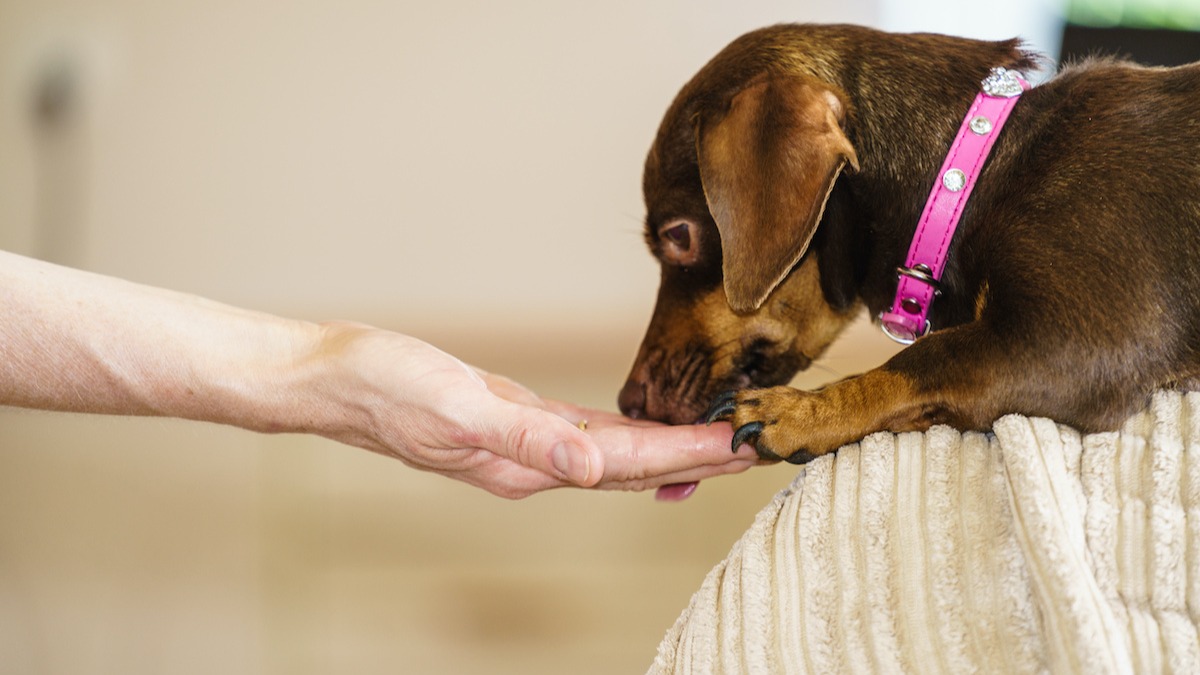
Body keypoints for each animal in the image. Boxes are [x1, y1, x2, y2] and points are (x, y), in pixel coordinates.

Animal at [619, 22, 1200, 461]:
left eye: (678, 236)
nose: (628, 403)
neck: (982, 170)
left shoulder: (1079, 342)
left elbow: (922, 361)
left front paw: (801, 410)